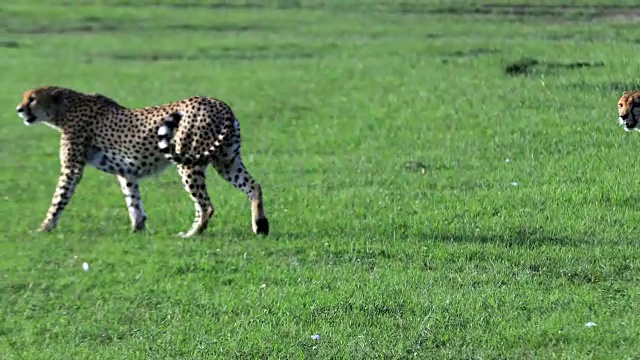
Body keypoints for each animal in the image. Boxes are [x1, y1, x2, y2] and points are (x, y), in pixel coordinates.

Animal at [14, 86, 270, 238]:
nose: (19, 109)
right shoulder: (126, 172)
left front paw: (45, 227)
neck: (65, 109)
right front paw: (138, 228)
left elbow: (59, 198)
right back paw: (260, 225)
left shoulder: (71, 168)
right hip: (226, 160)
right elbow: (133, 200)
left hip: (189, 163)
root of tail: (218, 102)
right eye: (25, 98)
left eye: (32, 99)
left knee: (205, 205)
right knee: (253, 186)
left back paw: (191, 234)